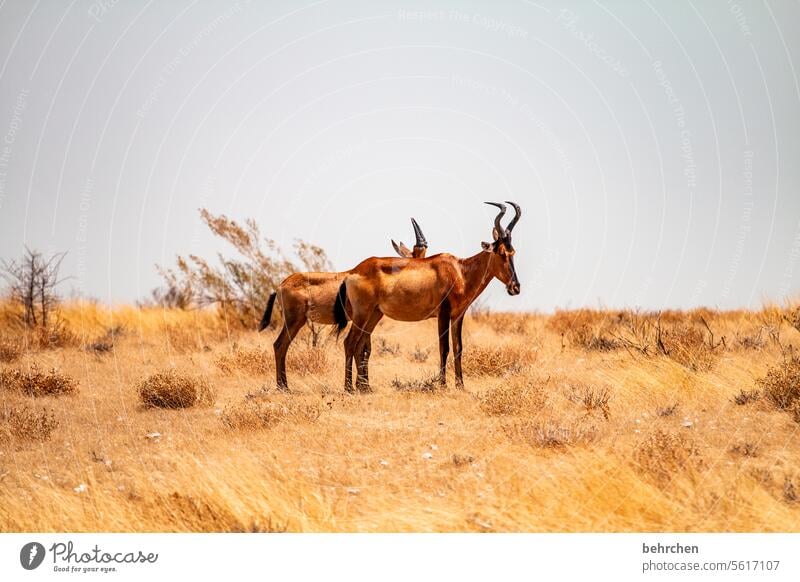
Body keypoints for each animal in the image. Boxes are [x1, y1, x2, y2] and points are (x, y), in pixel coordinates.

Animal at [260, 219, 428, 392]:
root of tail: (281, 285)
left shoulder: (370, 319)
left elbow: (366, 348)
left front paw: (365, 386)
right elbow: (360, 347)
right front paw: (360, 386)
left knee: (281, 346)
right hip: (295, 321)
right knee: (280, 345)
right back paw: (287, 387)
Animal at [334, 203, 520, 394]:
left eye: (513, 251)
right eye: (501, 252)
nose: (515, 287)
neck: (459, 271)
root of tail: (352, 272)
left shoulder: (458, 316)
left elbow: (458, 348)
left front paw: (460, 385)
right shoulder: (443, 314)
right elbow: (444, 348)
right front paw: (443, 385)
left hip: (374, 314)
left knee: (360, 345)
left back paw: (365, 388)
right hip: (362, 314)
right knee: (349, 342)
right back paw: (349, 388)